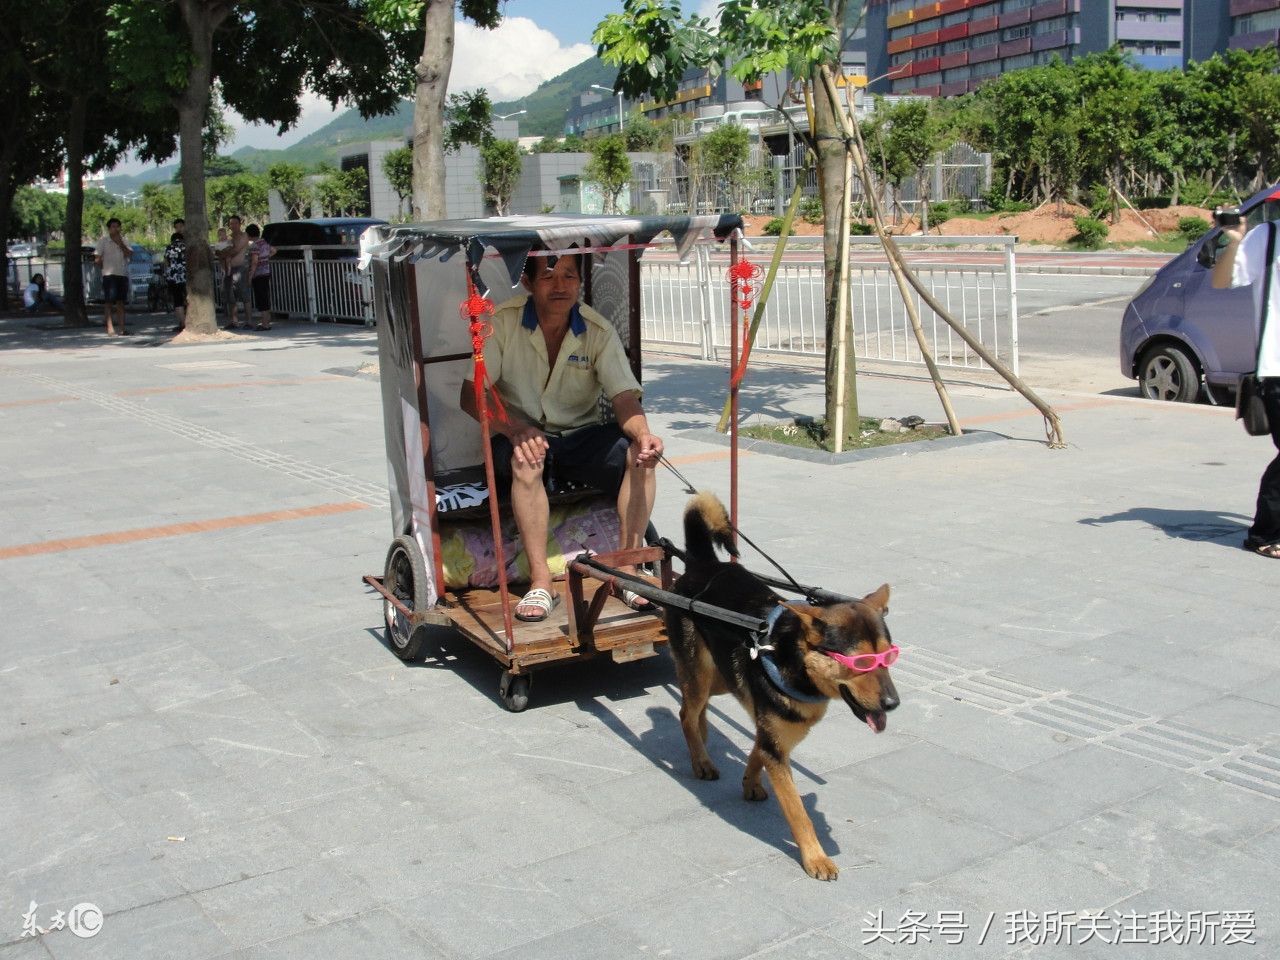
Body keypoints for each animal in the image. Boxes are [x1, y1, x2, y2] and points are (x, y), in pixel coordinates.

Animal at [355, 217, 747, 716]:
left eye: (566, 273)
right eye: (549, 273)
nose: (563, 284)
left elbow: (627, 405)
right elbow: (478, 397)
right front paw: (527, 435)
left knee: (634, 462)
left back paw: (630, 578)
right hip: (435, 534)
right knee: (414, 574)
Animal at [665, 496, 906, 880]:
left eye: (888, 657)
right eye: (861, 663)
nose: (892, 703)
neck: (791, 657)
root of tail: (705, 564)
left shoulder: (771, 731)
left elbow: (758, 751)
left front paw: (750, 782)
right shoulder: (777, 744)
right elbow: (798, 812)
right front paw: (816, 858)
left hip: (719, 677)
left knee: (692, 707)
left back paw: (700, 740)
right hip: (700, 671)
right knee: (686, 711)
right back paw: (700, 759)